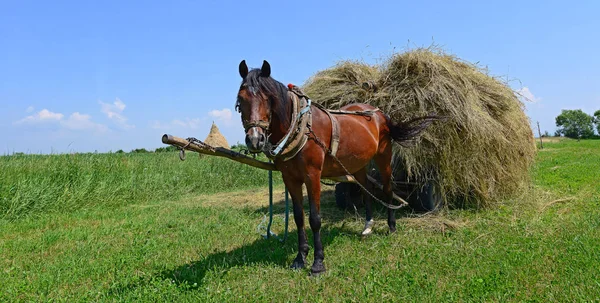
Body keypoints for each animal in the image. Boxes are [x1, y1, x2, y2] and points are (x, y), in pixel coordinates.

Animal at [237, 60, 438, 276]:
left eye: (268, 98)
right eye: (240, 101)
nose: (255, 140)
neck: (301, 127)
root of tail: (379, 113)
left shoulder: (312, 176)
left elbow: (315, 219)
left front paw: (318, 263)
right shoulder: (290, 178)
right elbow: (299, 217)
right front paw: (300, 258)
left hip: (384, 156)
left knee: (387, 189)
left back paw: (391, 227)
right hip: (358, 164)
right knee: (367, 190)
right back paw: (368, 226)